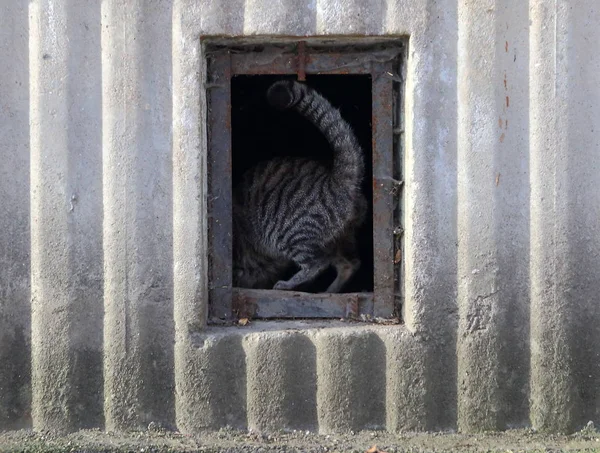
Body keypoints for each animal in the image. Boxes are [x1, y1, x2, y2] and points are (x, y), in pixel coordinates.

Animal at [233, 79, 366, 292]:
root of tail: (336, 178)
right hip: (339, 240)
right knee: (350, 263)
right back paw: (330, 291)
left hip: (289, 233)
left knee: (318, 264)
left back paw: (289, 284)